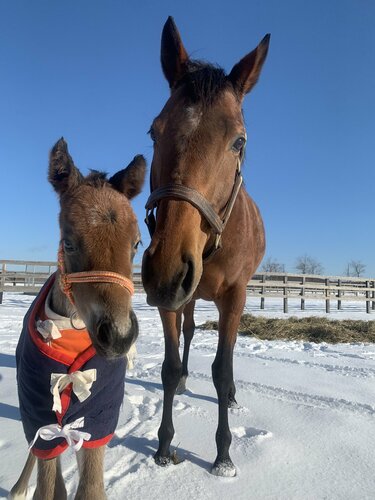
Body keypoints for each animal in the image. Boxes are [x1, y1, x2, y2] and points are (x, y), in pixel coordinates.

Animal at [10, 139, 145, 500]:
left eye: (137, 243)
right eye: (68, 243)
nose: (118, 335)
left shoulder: (98, 421)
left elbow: (90, 489)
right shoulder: (39, 411)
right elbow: (47, 482)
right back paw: (18, 487)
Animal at [142, 16, 270, 476]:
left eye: (239, 141)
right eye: (154, 131)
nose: (166, 271)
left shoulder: (234, 297)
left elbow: (221, 370)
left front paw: (223, 455)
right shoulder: (170, 298)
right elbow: (167, 365)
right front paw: (164, 446)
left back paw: (230, 399)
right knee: (190, 332)